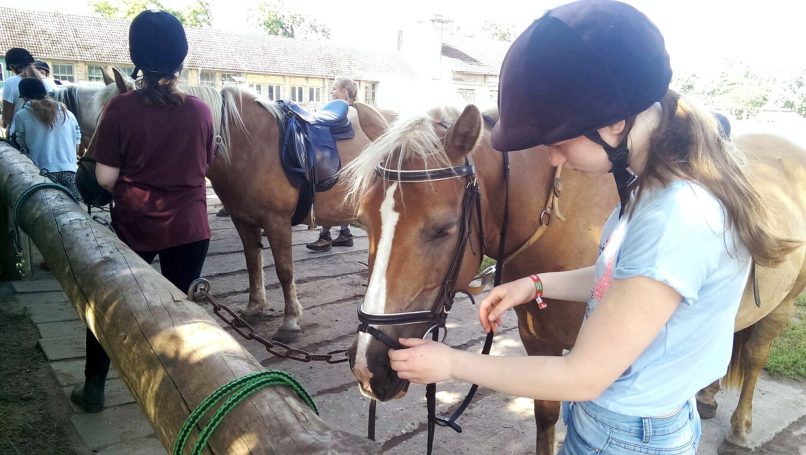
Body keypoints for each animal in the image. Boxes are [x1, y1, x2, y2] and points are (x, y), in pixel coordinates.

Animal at [79, 67, 389, 342]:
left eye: (112, 125)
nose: (85, 183)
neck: (248, 144)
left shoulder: (276, 222)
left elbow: (284, 270)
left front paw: (289, 322)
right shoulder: (244, 220)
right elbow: (253, 264)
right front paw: (254, 309)